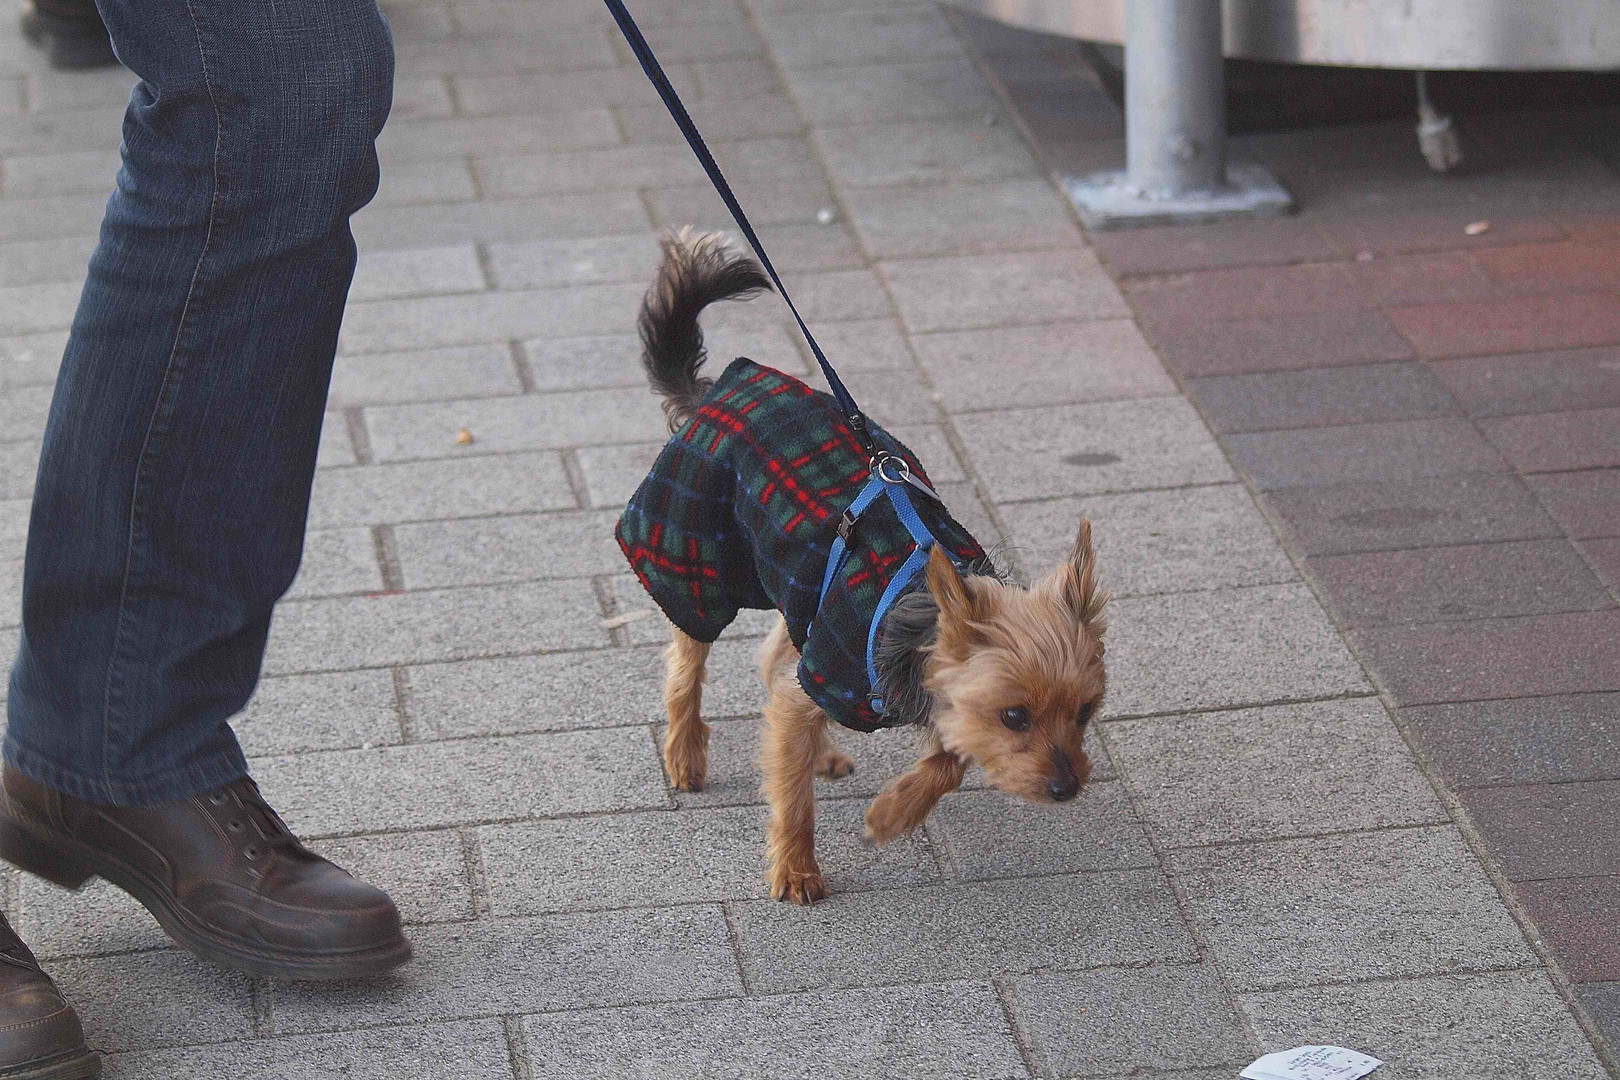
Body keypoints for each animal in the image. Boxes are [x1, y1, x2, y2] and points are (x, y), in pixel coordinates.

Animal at [612, 233, 1108, 906]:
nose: (1067, 787)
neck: (918, 602)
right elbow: (793, 796)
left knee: (776, 658)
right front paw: (797, 868)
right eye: (1014, 716)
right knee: (690, 663)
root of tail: (714, 392)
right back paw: (686, 752)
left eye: (1085, 713)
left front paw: (895, 811)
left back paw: (816, 751)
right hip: (699, 559)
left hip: (796, 583)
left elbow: (949, 759)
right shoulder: (835, 666)